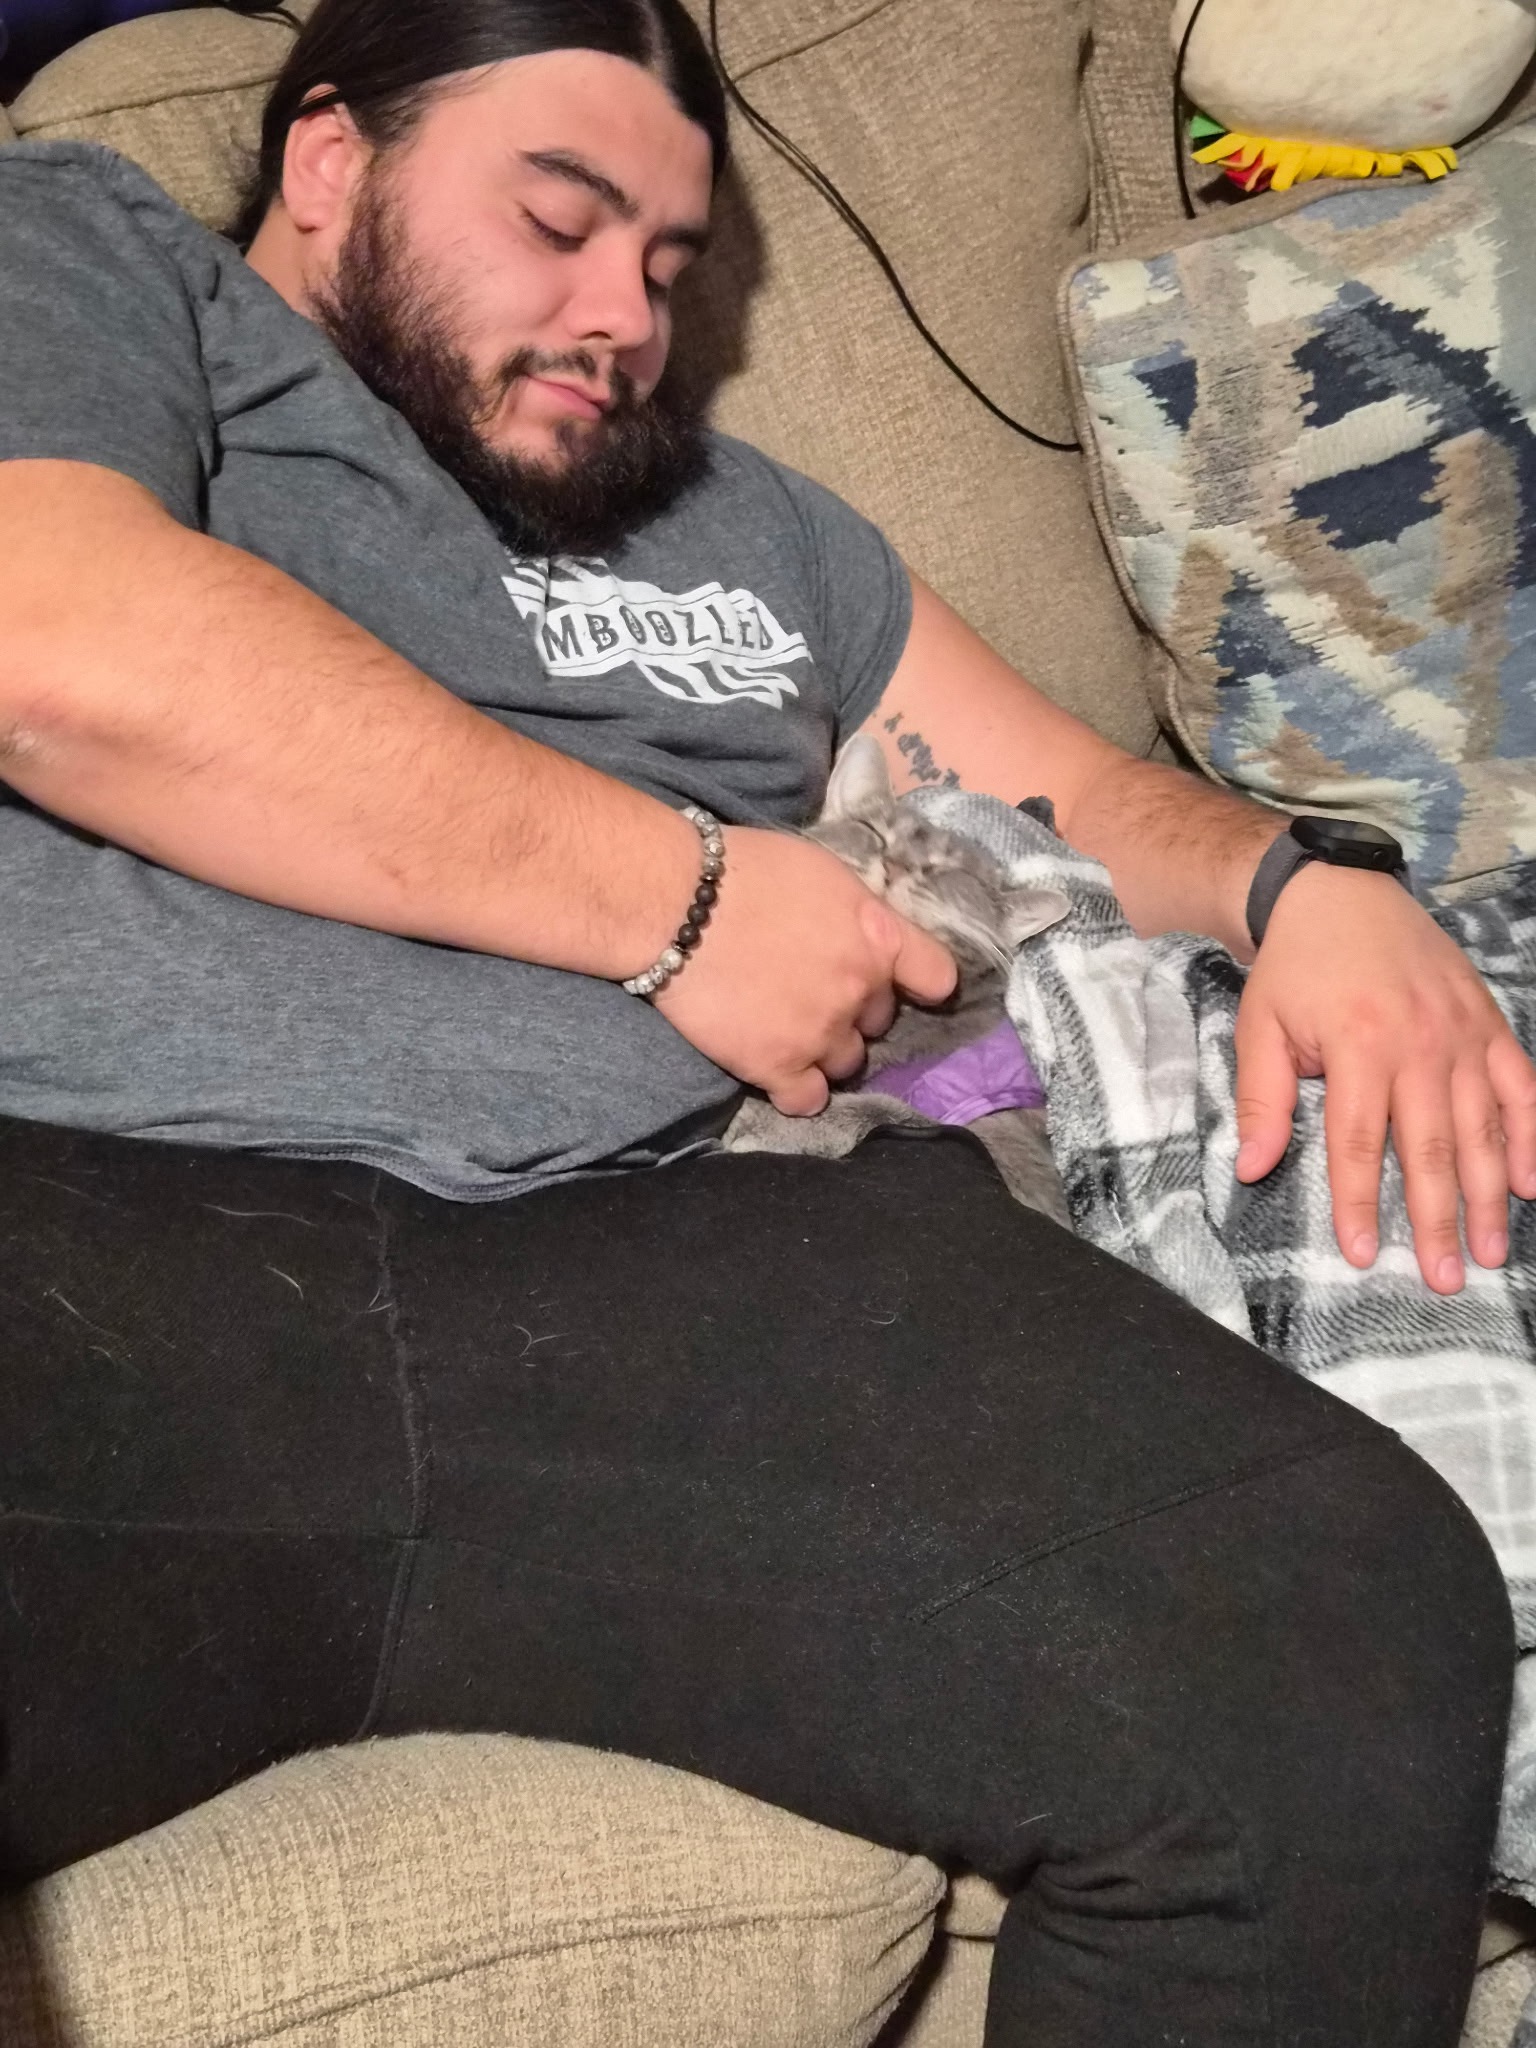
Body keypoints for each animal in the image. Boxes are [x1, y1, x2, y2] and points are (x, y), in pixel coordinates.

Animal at [723, 736, 1073, 1224]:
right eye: (873, 832)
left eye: (949, 873)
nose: (897, 867)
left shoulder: (1014, 1148)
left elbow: (900, 1112)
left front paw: (773, 1123)